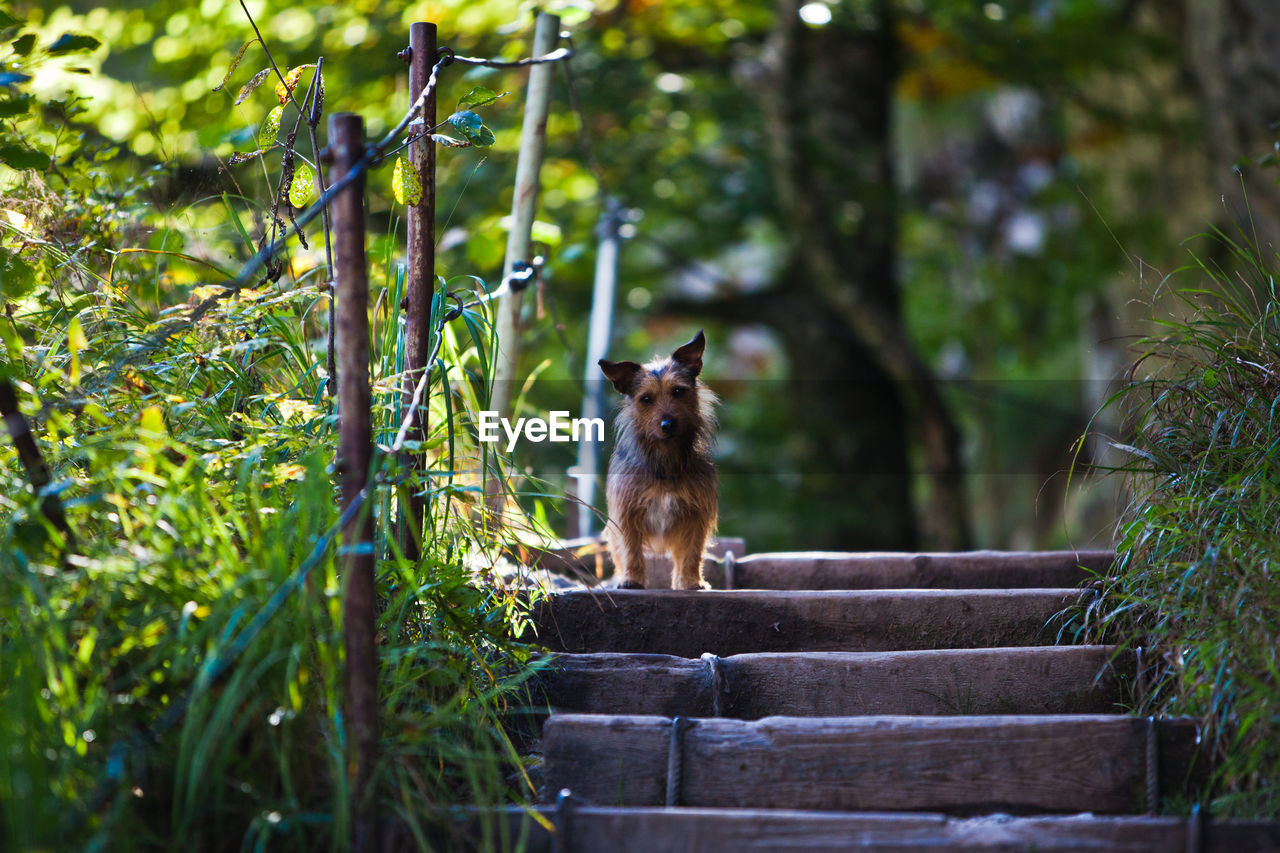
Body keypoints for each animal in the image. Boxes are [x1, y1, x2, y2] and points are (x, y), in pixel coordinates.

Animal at [599, 327, 721, 589]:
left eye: (678, 391)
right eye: (646, 399)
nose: (668, 424)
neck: (665, 460)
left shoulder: (697, 515)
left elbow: (692, 553)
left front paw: (690, 581)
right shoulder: (626, 513)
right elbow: (631, 550)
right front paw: (631, 579)